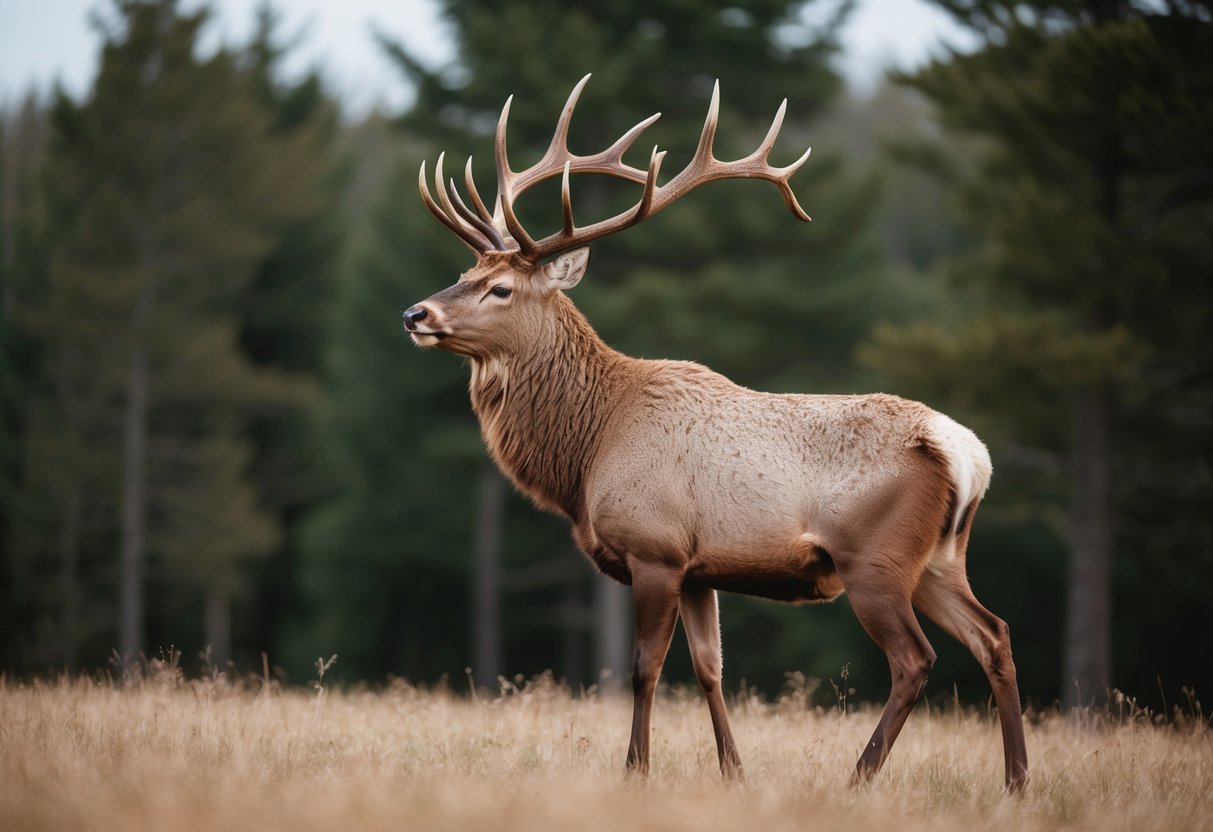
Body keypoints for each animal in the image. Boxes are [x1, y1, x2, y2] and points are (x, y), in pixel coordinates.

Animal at [403, 74, 1028, 792]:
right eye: (464, 273)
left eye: (500, 288)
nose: (415, 313)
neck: (588, 450)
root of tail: (966, 453)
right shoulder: (701, 568)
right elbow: (710, 668)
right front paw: (733, 773)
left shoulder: (654, 546)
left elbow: (644, 667)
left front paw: (635, 772)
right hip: (939, 558)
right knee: (993, 634)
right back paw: (1015, 781)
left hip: (875, 557)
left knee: (915, 659)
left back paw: (858, 778)